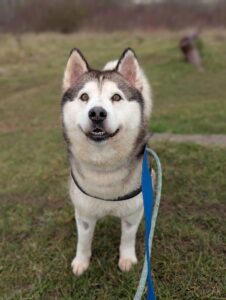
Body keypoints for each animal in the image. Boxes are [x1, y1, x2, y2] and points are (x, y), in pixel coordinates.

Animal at [61, 48, 152, 276]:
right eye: (84, 97)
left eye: (116, 97)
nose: (97, 113)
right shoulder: (84, 213)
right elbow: (84, 241)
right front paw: (81, 262)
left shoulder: (133, 212)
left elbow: (127, 238)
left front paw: (127, 259)